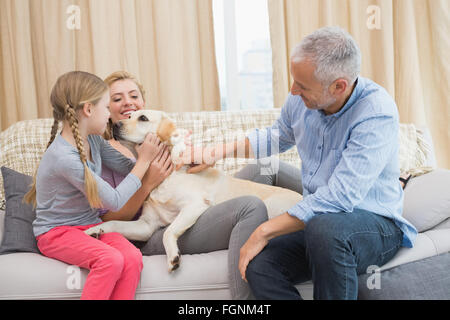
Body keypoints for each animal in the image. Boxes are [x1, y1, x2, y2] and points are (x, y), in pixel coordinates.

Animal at [84, 110, 302, 272]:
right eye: (129, 116)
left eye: (143, 118)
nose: (114, 125)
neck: (166, 176)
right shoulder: (146, 225)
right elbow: (114, 223)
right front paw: (94, 230)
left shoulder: (194, 205)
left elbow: (168, 232)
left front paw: (173, 256)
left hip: (270, 207)